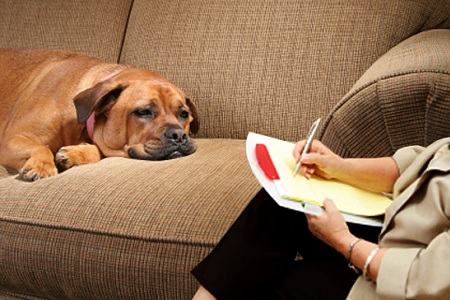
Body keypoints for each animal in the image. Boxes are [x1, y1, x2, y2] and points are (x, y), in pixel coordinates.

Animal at [0, 48, 199, 182]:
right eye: (143, 112)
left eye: (184, 114)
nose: (179, 135)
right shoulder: (11, 140)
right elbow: (42, 146)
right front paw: (42, 165)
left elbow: (99, 151)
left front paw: (75, 153)